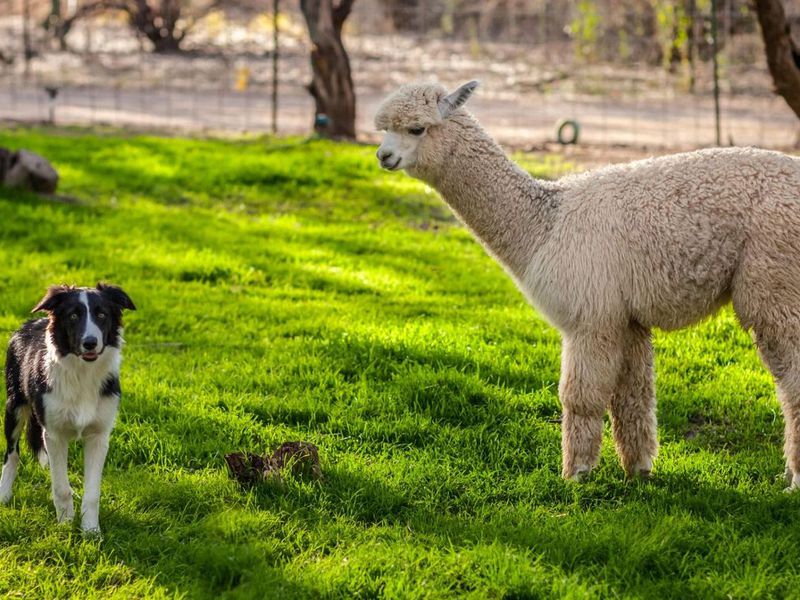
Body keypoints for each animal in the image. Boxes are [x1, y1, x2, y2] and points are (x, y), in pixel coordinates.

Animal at [0, 284, 136, 532]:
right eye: (73, 316)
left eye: (102, 315)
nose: (90, 342)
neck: (82, 372)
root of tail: (31, 322)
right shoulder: (54, 435)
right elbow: (61, 487)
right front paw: (65, 525)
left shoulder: (99, 436)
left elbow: (92, 493)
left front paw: (91, 531)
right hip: (14, 406)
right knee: (12, 453)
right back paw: (4, 494)